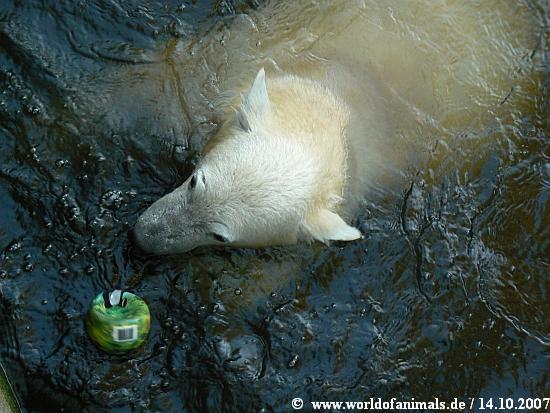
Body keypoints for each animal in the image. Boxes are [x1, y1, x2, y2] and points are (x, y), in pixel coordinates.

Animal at [132, 0, 538, 255]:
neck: (330, 102)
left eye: (219, 235)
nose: (143, 235)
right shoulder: (234, 63)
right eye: (195, 181)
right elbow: (161, 75)